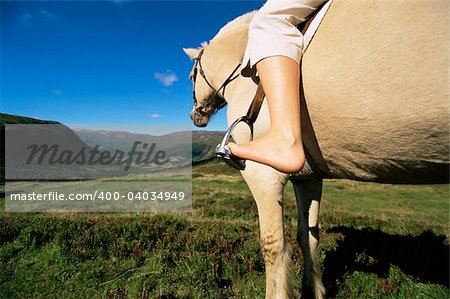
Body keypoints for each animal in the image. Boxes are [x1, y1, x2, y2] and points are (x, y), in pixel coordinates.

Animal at [185, 1, 448, 298]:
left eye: (192, 76)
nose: (196, 115)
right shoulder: (307, 178)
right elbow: (307, 236)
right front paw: (315, 289)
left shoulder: (262, 174)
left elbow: (272, 245)